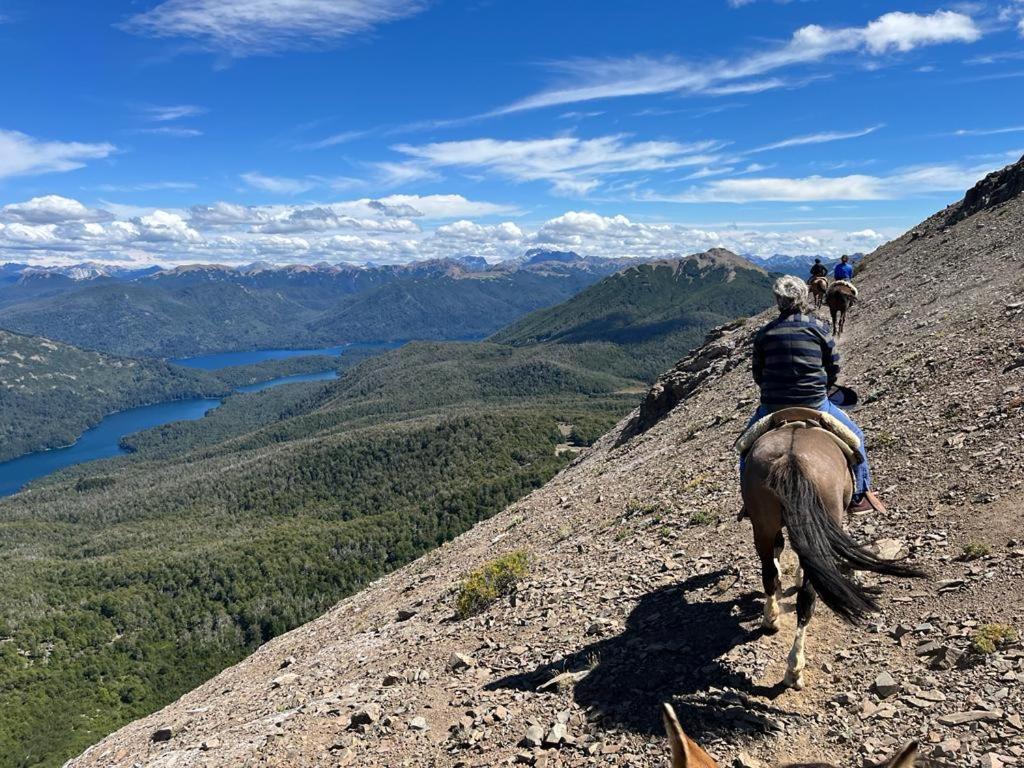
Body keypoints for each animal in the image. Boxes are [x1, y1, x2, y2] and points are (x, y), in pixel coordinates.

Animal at [741, 415, 925, 692]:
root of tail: (790, 458)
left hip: (762, 525)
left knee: (770, 574)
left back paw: (771, 620)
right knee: (807, 598)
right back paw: (794, 669)